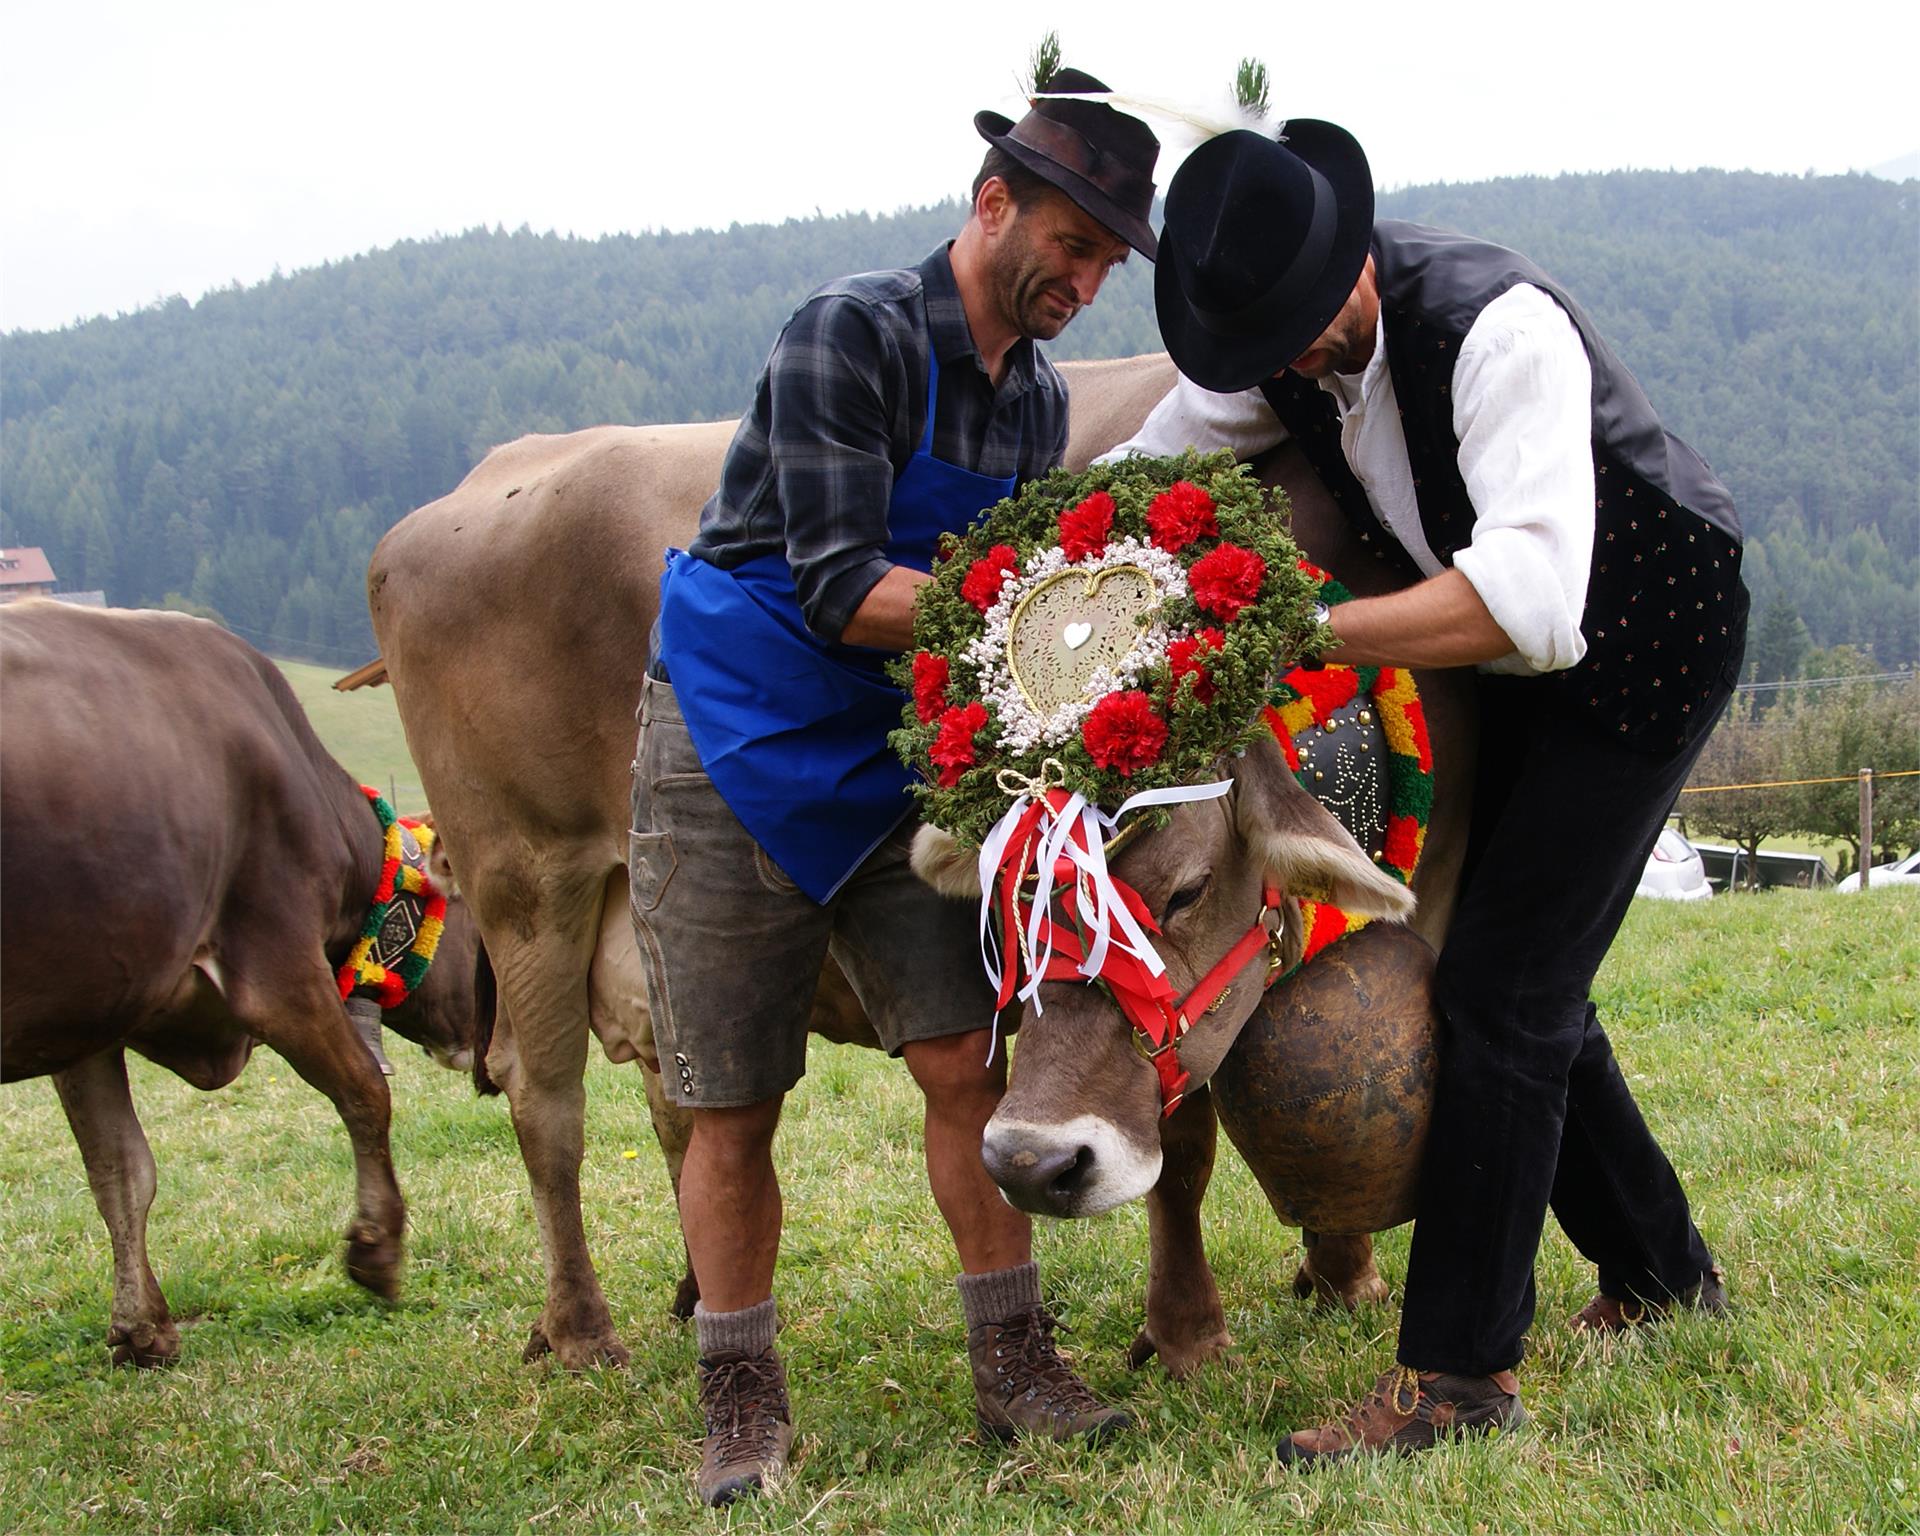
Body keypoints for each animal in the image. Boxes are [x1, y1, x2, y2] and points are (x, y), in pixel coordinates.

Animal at [366, 353, 1474, 1374]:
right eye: (1011, 892)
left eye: (1191, 888)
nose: (1032, 1162)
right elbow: (1186, 1151)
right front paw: (1186, 1332)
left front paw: (1343, 1275)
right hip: (526, 882)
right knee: (547, 1105)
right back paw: (581, 1330)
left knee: (680, 1103)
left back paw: (690, 1292)